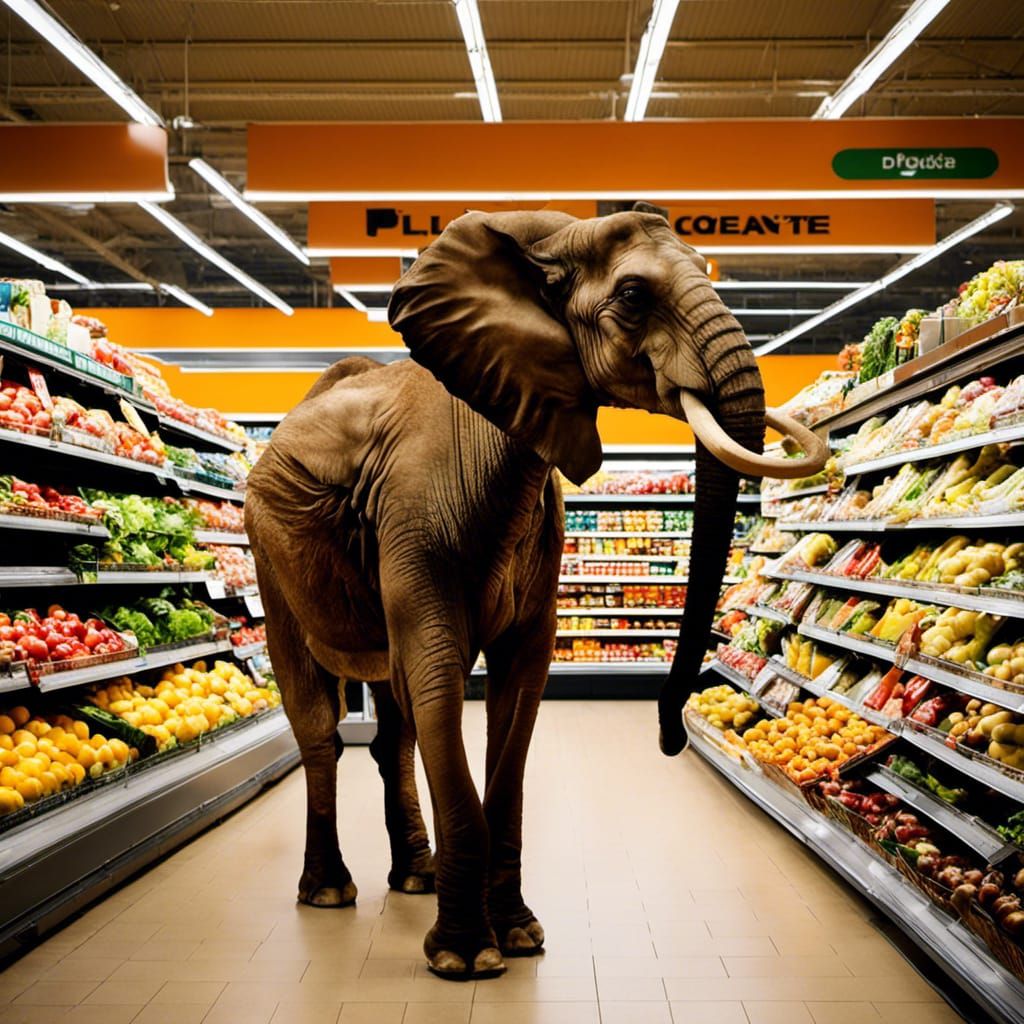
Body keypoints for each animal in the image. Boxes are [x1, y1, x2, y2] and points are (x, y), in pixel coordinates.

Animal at [244, 207, 827, 981]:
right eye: (634, 296)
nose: (673, 738)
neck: (550, 233)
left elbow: (521, 680)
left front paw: (519, 936)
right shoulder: (411, 512)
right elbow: (437, 670)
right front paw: (465, 957)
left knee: (395, 724)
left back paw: (415, 878)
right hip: (266, 546)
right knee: (317, 720)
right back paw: (330, 892)